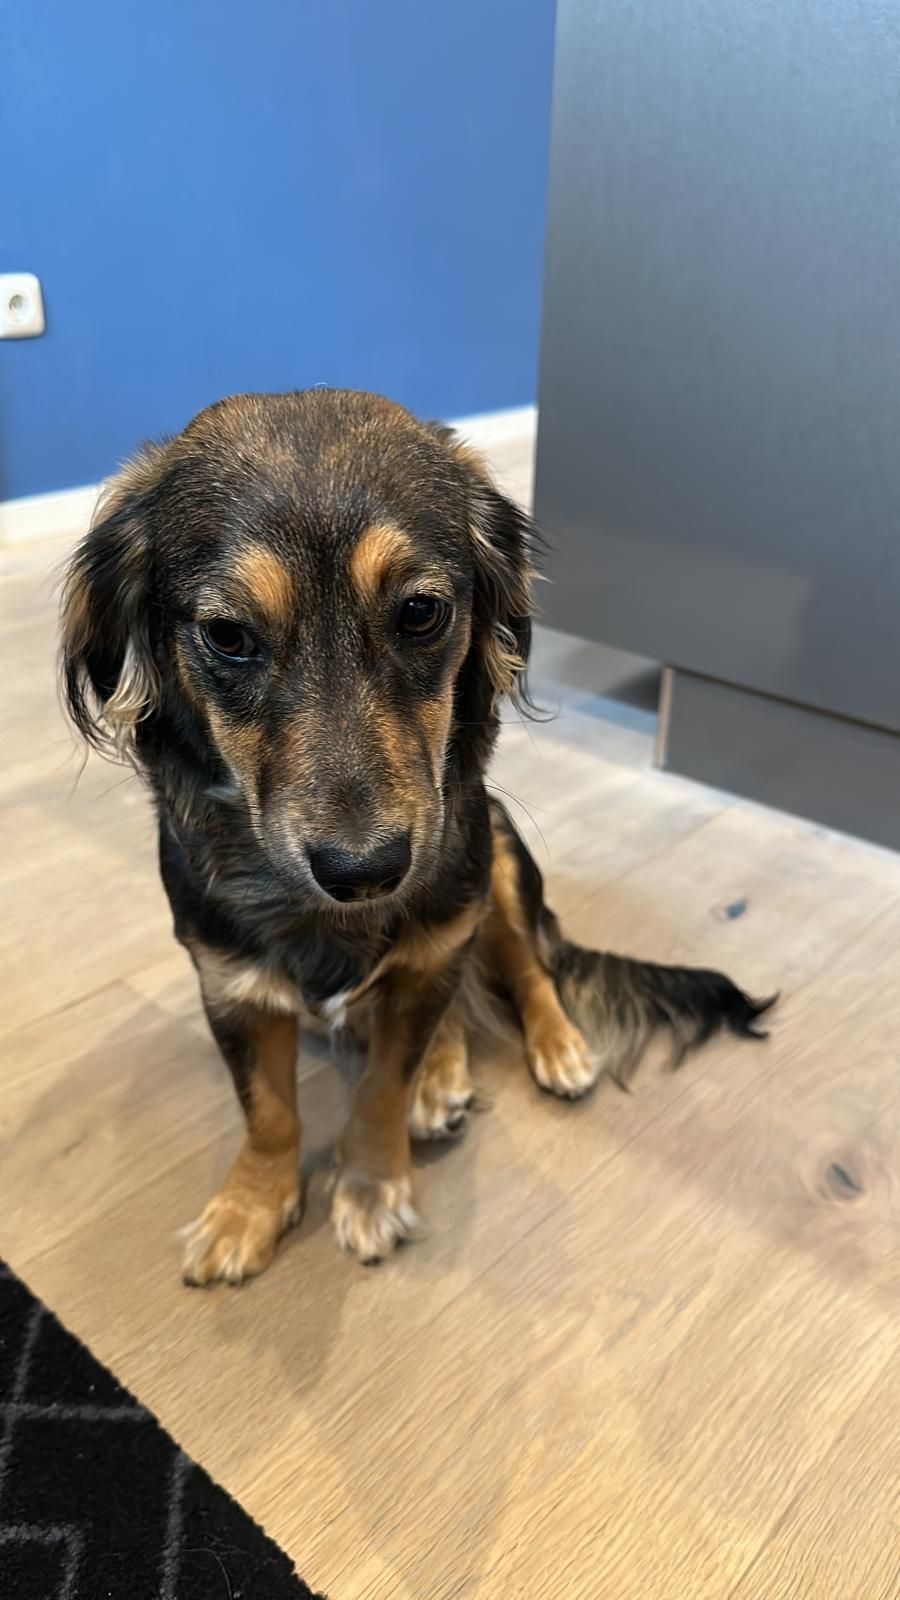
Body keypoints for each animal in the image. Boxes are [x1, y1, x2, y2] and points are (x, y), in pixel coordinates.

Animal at [60, 389, 774, 1284]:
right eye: (226, 635)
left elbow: (382, 1088)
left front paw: (371, 1188)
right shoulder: (229, 985)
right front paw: (249, 1208)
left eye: (420, 612)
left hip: (495, 864)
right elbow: (267, 1111)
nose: (366, 869)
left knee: (524, 971)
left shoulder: (444, 931)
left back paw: (543, 1051)